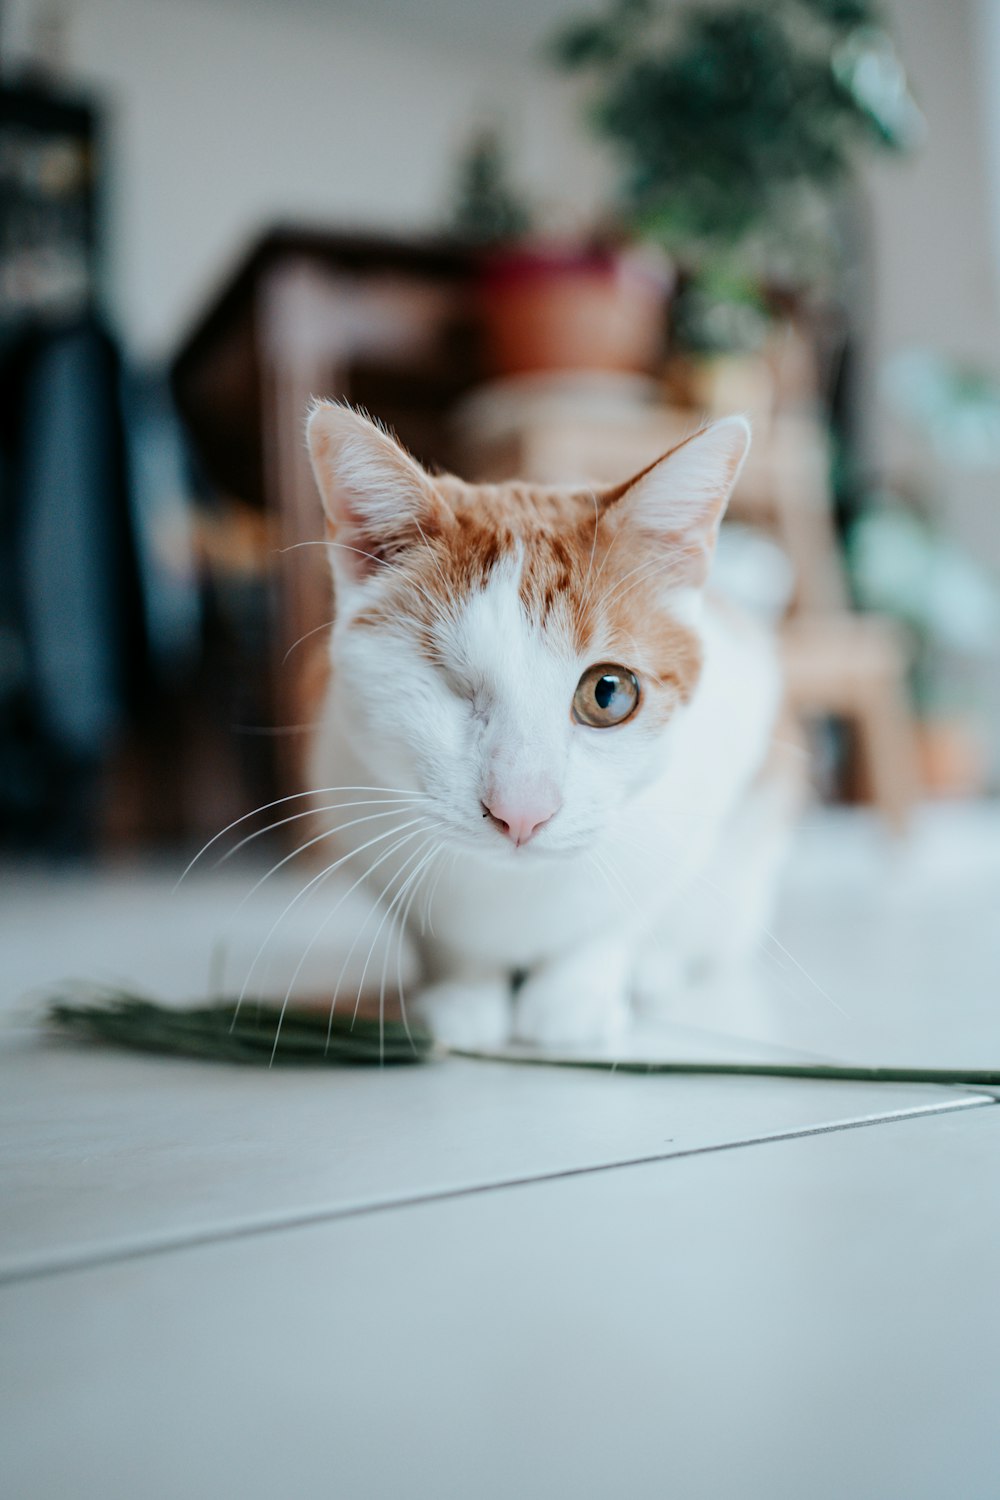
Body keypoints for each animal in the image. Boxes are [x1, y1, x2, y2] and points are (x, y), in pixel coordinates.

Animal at [308, 405, 791, 1050]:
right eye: (448, 683)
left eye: (608, 694)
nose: (521, 812)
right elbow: (448, 940)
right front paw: (462, 994)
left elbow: (618, 918)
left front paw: (574, 996)